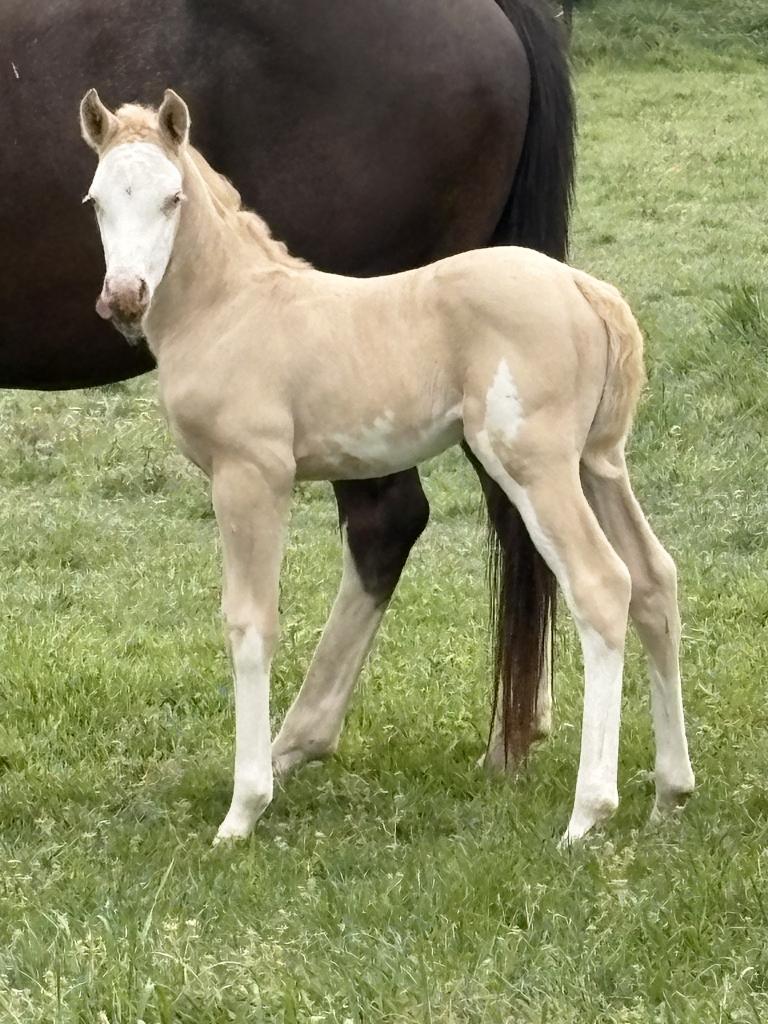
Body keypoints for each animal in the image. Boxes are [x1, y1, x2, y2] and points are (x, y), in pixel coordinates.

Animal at [77, 90, 695, 844]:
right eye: (97, 200)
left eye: (172, 199)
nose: (125, 297)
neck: (232, 306)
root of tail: (585, 290)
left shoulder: (252, 475)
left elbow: (251, 625)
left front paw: (242, 811)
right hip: (598, 464)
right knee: (654, 579)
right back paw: (670, 792)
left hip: (536, 464)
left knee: (602, 584)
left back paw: (586, 817)